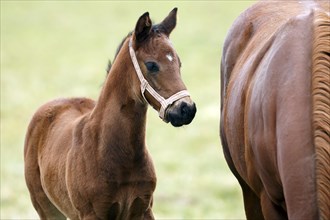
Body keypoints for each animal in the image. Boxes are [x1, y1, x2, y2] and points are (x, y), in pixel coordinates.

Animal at [25, 7, 196, 219]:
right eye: (151, 65)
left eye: (179, 63)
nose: (186, 109)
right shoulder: (91, 214)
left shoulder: (144, 209)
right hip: (46, 208)